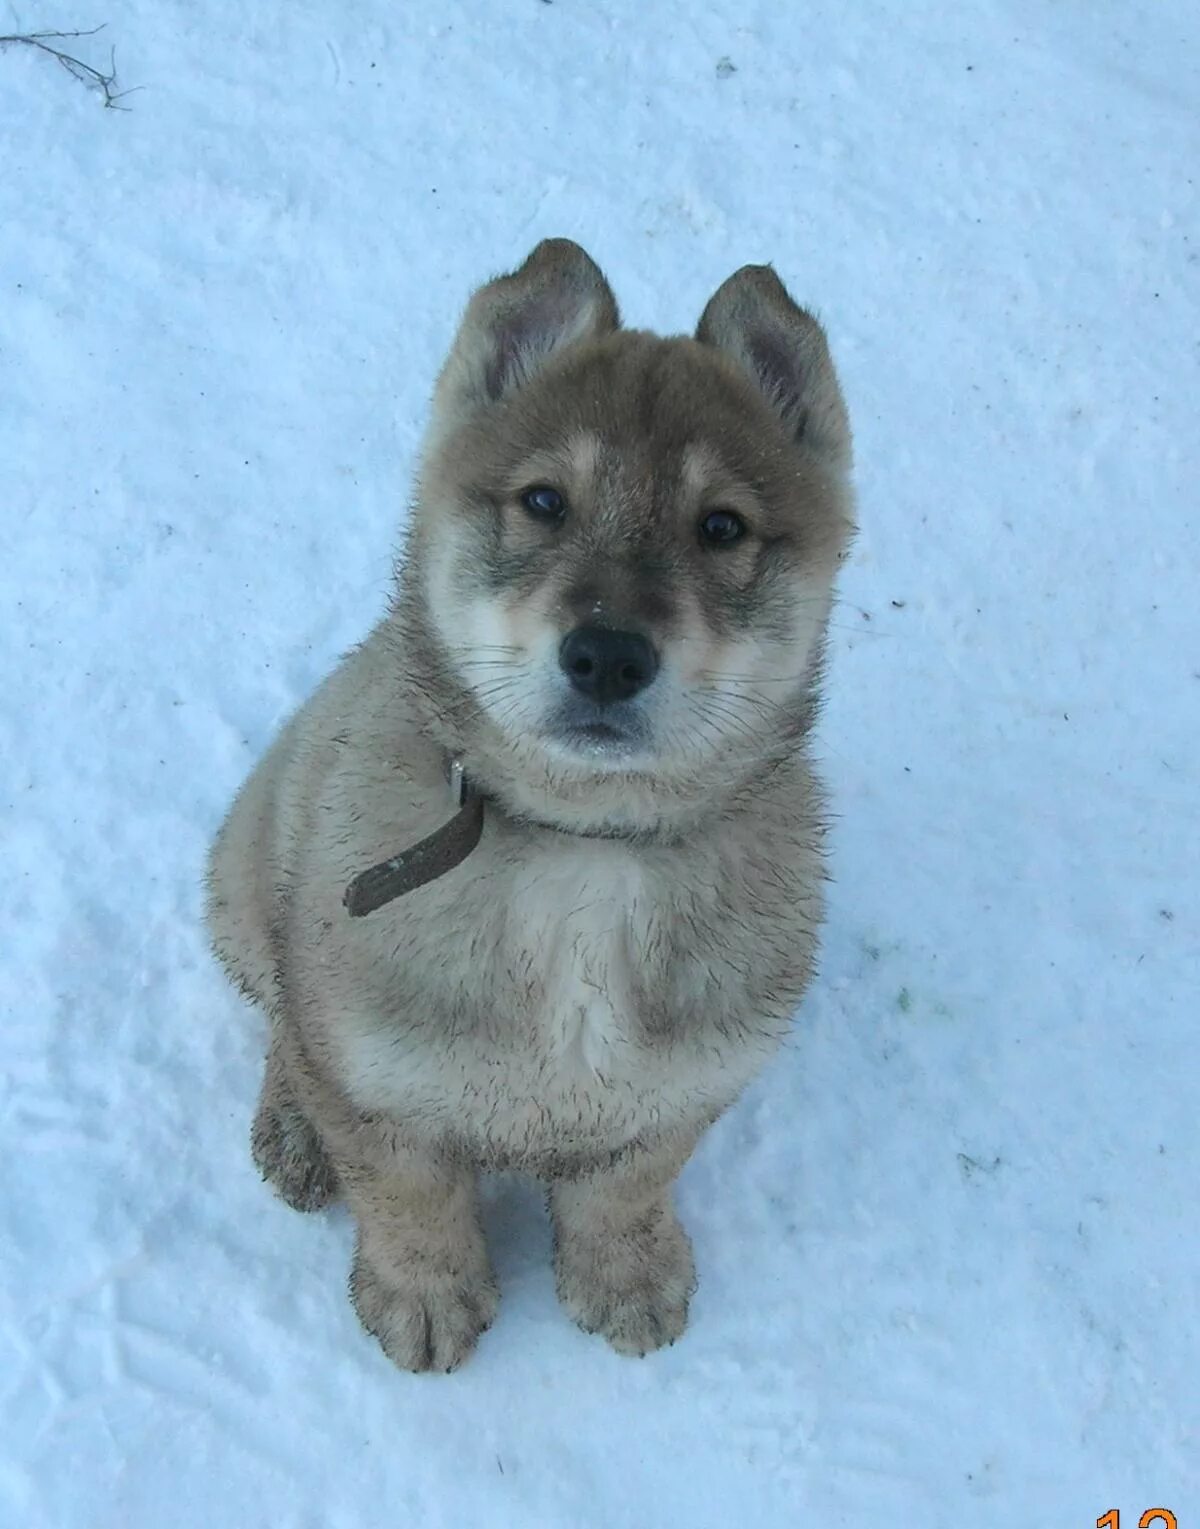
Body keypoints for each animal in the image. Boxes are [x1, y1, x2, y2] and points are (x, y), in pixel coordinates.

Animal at [210, 241, 856, 1376]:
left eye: (722, 526)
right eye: (545, 501)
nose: (607, 656)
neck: (582, 851)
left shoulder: (683, 1083)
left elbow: (626, 1187)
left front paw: (625, 1275)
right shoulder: (376, 1078)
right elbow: (407, 1197)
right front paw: (425, 1294)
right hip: (250, 883)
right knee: (282, 1022)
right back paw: (291, 1129)